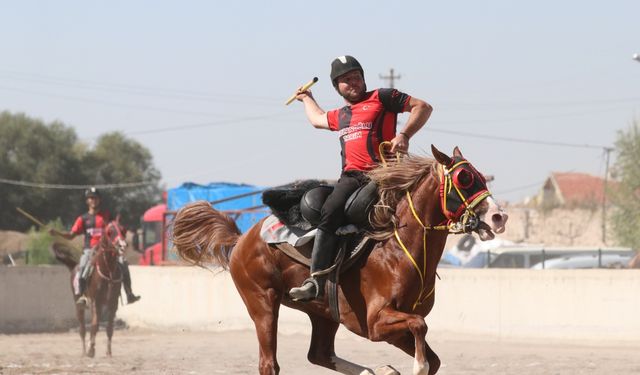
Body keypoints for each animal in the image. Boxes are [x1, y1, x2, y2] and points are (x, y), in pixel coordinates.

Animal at [53, 220, 127, 358]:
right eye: (110, 232)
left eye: (123, 229)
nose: (122, 245)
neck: (108, 272)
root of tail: (74, 266)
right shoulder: (95, 302)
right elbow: (94, 325)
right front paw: (91, 349)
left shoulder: (112, 303)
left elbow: (109, 327)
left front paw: (108, 351)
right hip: (79, 305)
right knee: (82, 328)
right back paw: (83, 351)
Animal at [172, 147, 508, 375]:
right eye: (464, 179)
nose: (498, 216)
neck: (397, 251)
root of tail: (242, 237)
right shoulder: (375, 323)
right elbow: (420, 329)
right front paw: (414, 366)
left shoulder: (388, 328)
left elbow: (431, 353)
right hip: (262, 304)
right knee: (270, 364)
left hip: (323, 314)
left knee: (318, 354)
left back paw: (377, 370)